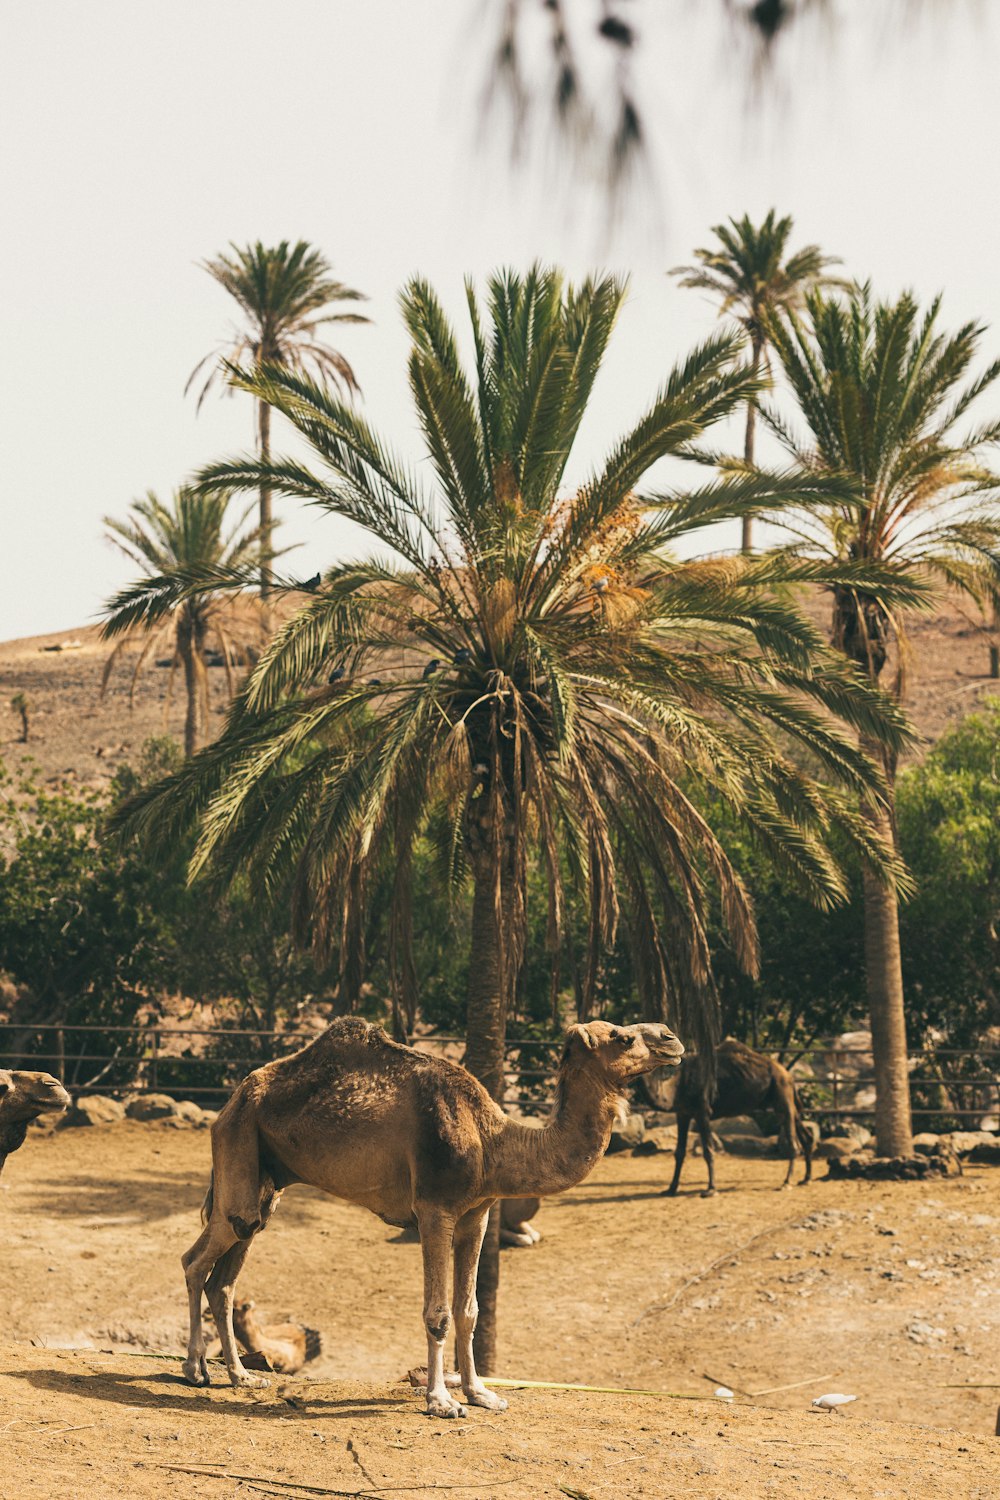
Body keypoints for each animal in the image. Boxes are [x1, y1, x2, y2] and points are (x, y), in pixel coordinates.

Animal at [179, 1008, 683, 1416]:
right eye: (621, 1036)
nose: (671, 1037)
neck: (491, 1140)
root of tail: (231, 1101)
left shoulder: (477, 1214)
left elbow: (470, 1311)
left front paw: (482, 1394)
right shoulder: (435, 1208)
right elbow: (438, 1313)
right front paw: (441, 1401)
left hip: (266, 1182)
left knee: (226, 1277)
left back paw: (242, 1377)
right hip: (239, 1152)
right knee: (195, 1260)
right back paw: (195, 1369)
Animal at [665, 1044, 815, 1194]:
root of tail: (788, 1075)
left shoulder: (701, 1111)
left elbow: (707, 1150)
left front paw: (711, 1189)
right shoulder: (683, 1113)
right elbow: (680, 1151)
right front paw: (671, 1188)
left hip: (782, 1094)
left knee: (793, 1140)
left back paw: (787, 1182)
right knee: (806, 1135)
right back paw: (806, 1179)